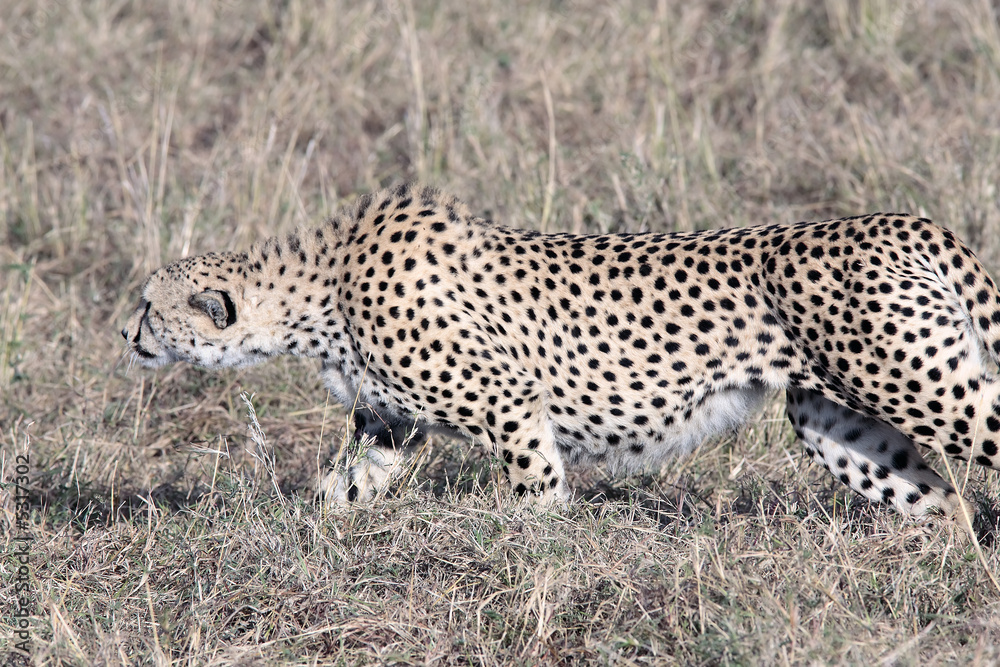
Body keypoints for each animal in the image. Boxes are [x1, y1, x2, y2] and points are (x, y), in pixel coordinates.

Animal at [122, 183, 1000, 516]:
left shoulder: (508, 402)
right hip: (828, 416)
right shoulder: (389, 424)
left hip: (921, 384)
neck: (319, 288)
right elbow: (342, 487)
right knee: (939, 500)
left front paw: (536, 548)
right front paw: (315, 537)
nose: (125, 335)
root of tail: (899, 218)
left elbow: (535, 488)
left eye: (149, 307)